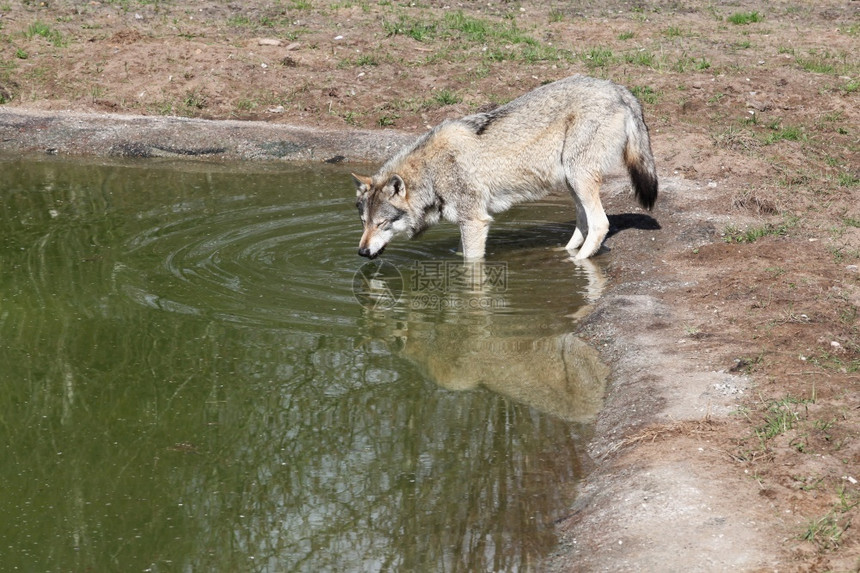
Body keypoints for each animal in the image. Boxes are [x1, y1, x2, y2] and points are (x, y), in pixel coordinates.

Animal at [350, 73, 660, 260]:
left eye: (382, 224)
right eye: (364, 223)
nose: (362, 252)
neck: (431, 172)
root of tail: (617, 88)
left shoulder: (475, 222)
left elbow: (470, 264)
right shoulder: (468, 223)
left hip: (579, 177)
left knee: (600, 224)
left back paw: (578, 262)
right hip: (571, 181)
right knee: (583, 223)